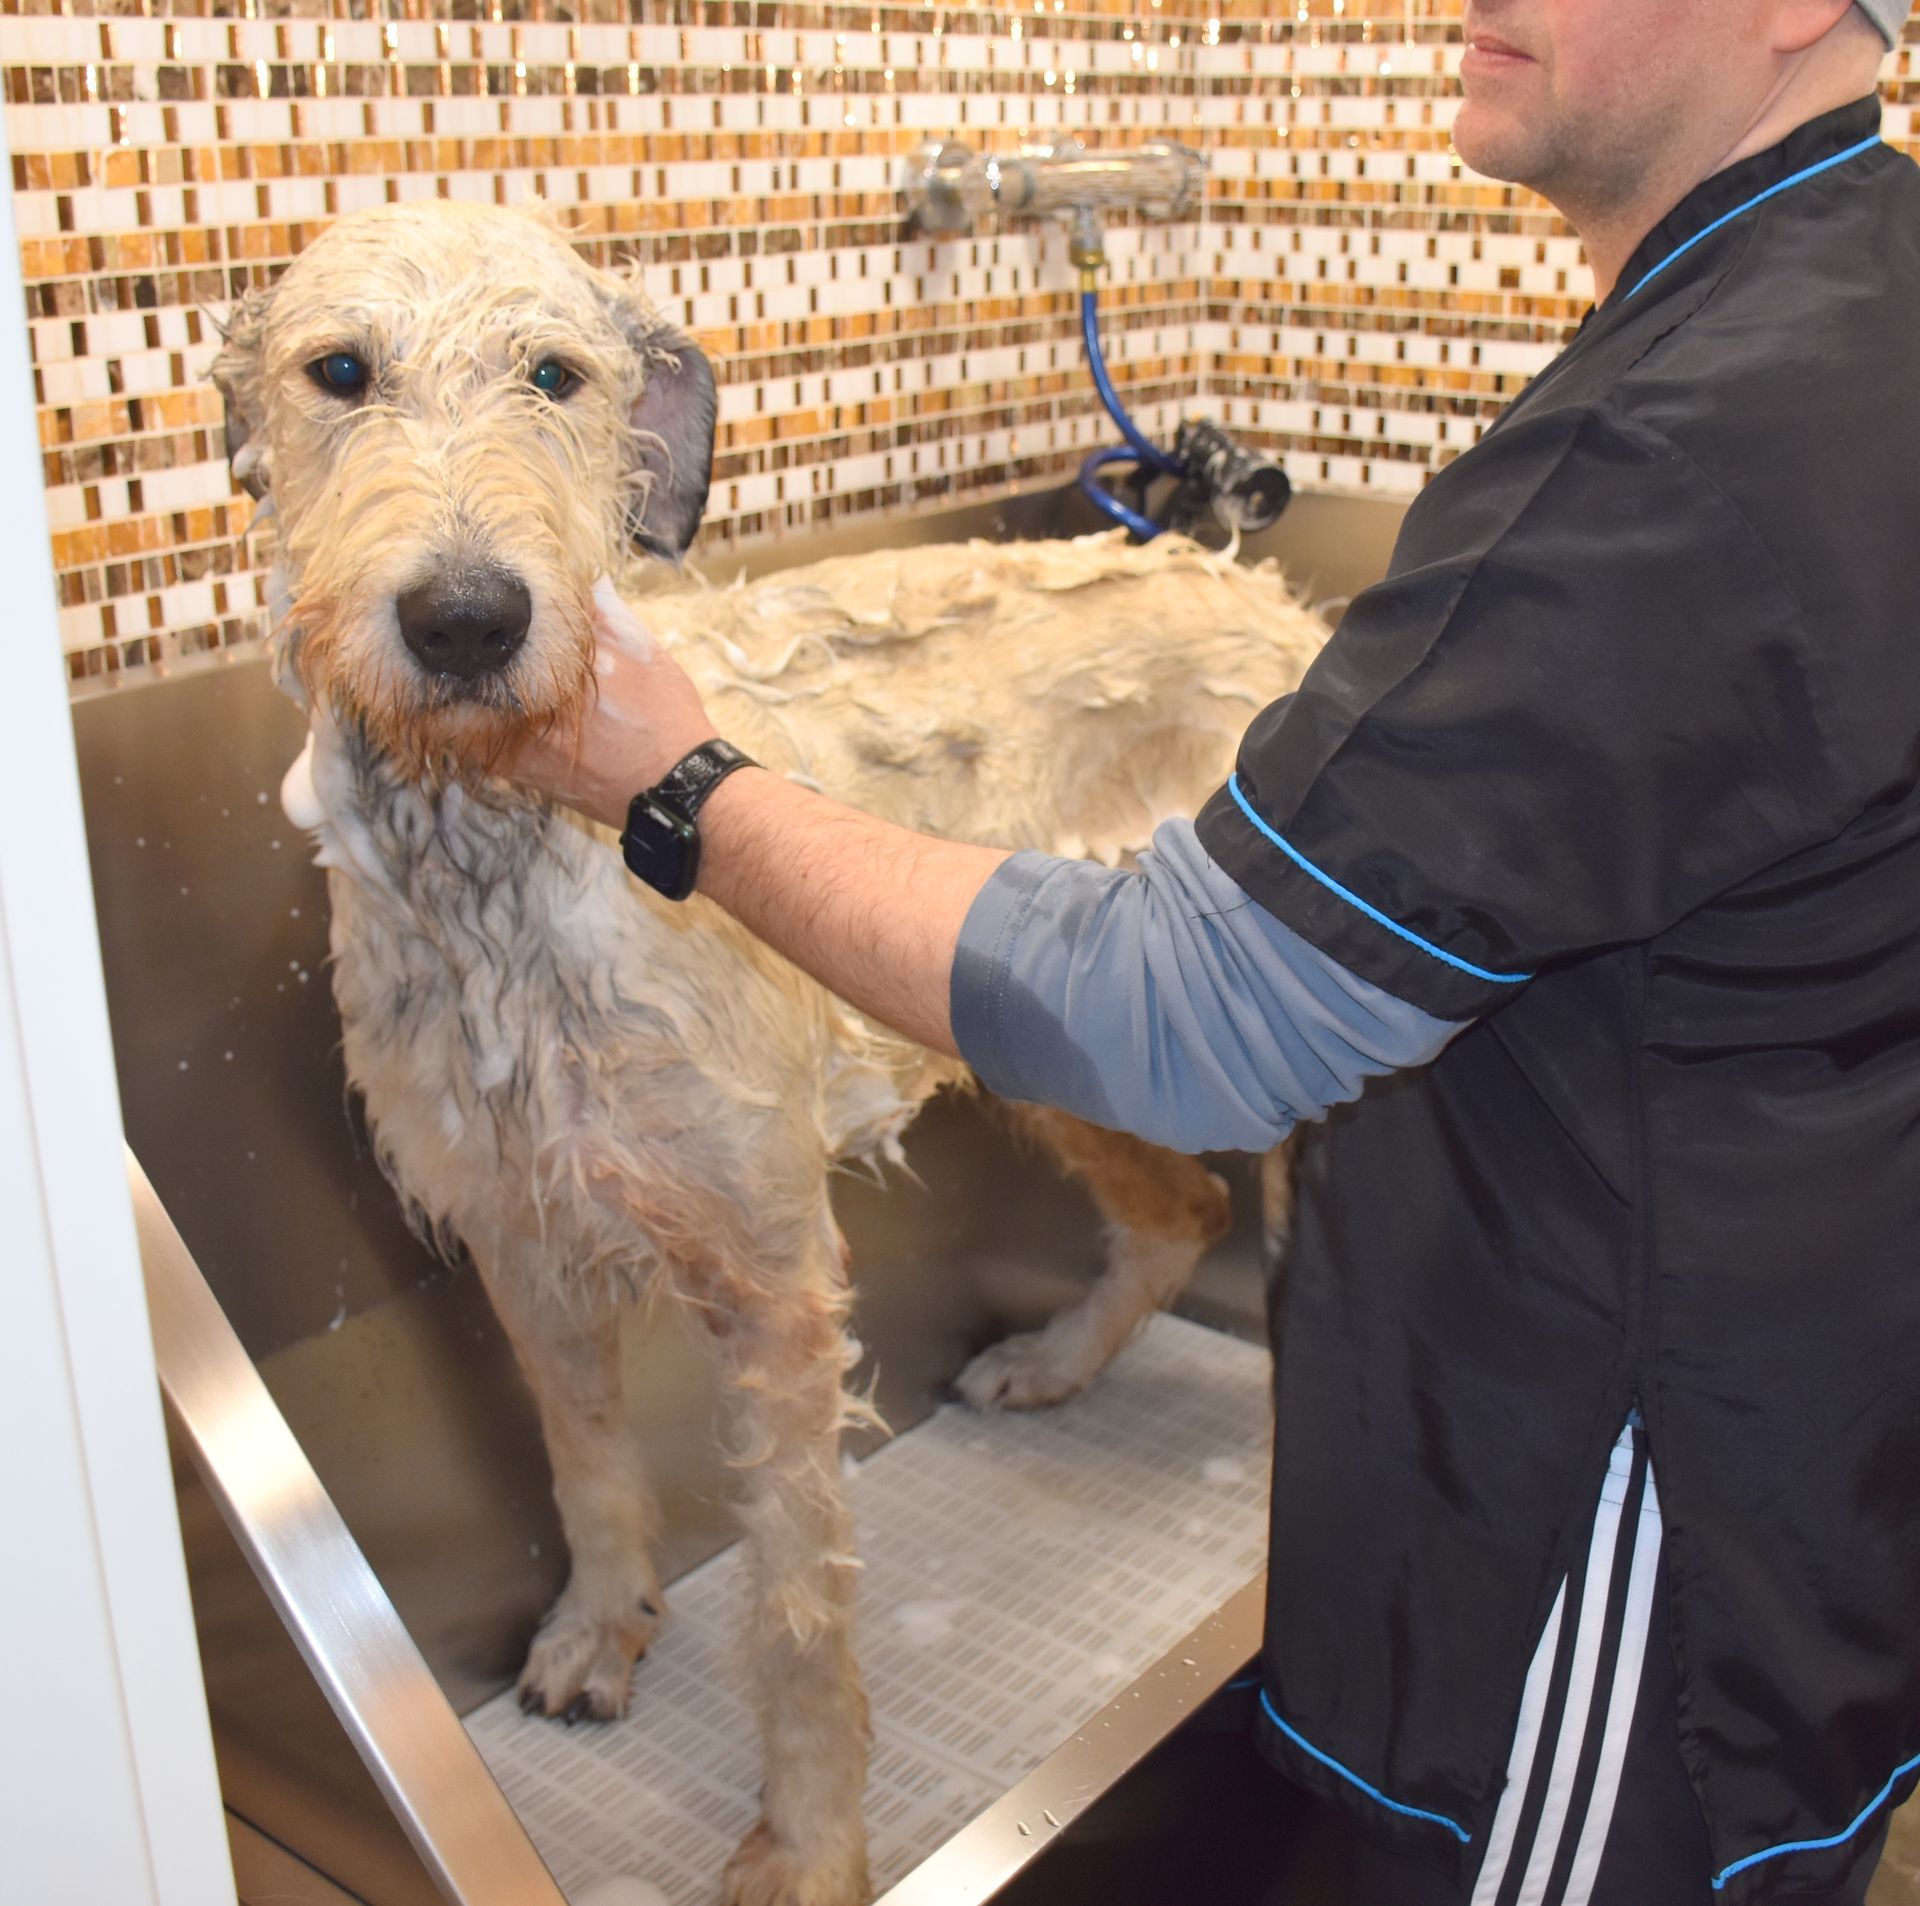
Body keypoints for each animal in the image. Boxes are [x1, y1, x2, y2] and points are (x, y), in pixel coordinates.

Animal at [212, 199, 1325, 1906]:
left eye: (558, 372)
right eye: (338, 370)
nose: (467, 620)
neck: (496, 854)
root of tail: (1262, 597)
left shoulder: (770, 1278)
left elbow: (799, 1612)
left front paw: (805, 1843)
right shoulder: (520, 1231)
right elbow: (586, 1460)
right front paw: (598, 1626)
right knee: (1179, 1210)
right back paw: (1056, 1358)